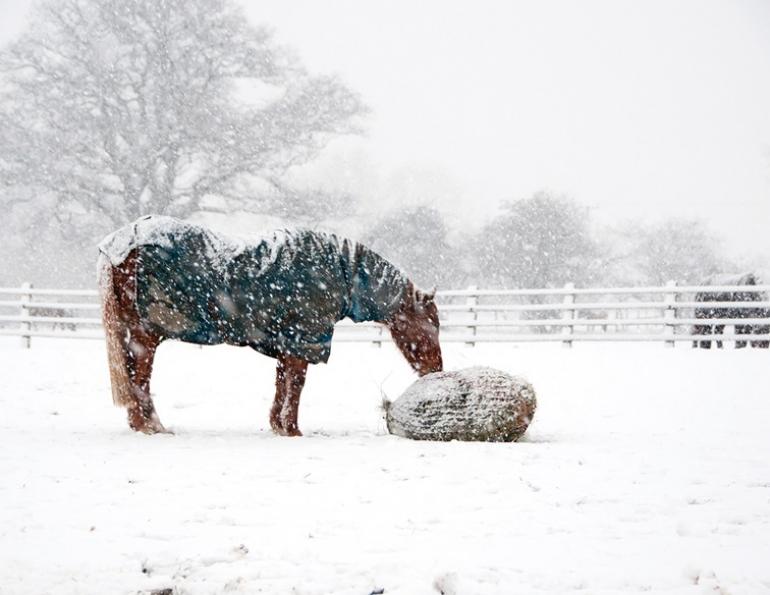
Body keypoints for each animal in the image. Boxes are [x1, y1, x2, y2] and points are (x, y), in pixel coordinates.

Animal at [98, 215, 443, 436]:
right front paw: (292, 430)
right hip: (146, 336)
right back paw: (152, 427)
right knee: (140, 379)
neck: (340, 271)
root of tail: (119, 244)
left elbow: (282, 384)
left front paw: (279, 425)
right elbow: (296, 385)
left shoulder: (286, 345)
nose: (436, 369)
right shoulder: (303, 342)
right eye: (432, 324)